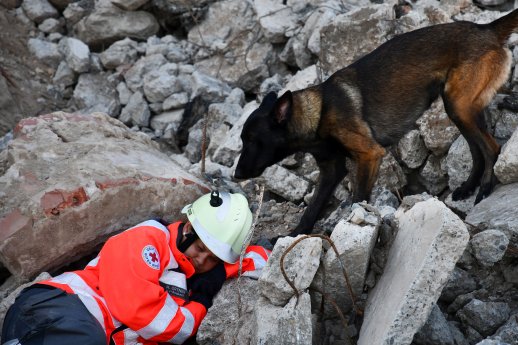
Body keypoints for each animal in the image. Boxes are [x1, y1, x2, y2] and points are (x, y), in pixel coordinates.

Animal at [235, 9, 518, 235]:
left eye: (253, 141)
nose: (236, 175)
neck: (319, 114)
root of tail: (486, 28)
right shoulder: (331, 171)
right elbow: (311, 210)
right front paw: (292, 236)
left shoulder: (369, 155)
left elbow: (359, 198)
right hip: (459, 109)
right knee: (477, 150)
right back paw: (468, 188)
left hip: (458, 106)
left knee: (491, 148)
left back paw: (484, 189)